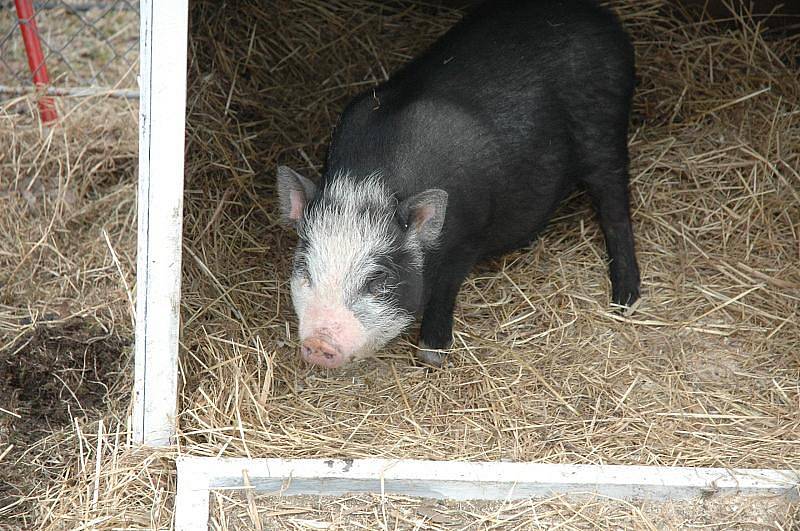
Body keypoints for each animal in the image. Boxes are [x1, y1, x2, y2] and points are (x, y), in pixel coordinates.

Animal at [278, 0, 640, 368]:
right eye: (305, 269)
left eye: (378, 279)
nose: (318, 344)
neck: (367, 182)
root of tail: (602, 17)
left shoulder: (469, 236)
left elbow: (444, 289)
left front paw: (431, 356)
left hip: (604, 132)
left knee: (614, 205)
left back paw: (624, 301)